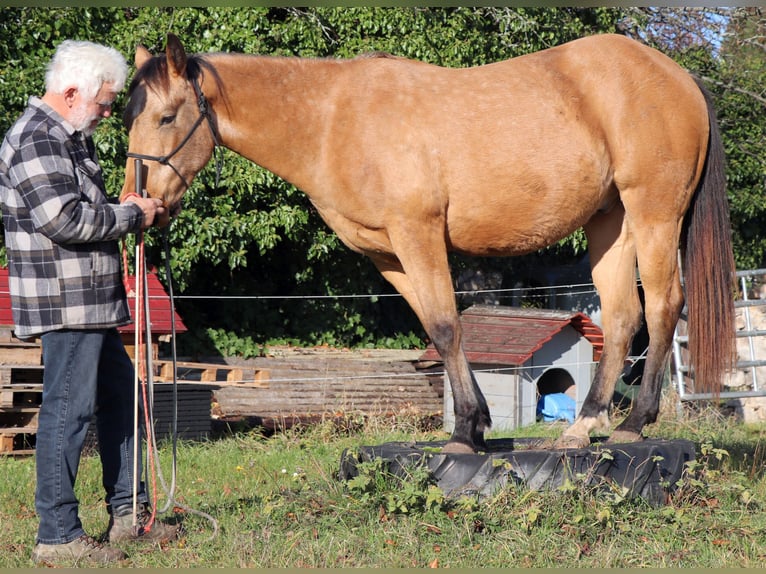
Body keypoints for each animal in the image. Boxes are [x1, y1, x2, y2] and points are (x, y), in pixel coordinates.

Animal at [121, 33, 736, 453]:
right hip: (611, 223)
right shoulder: (387, 252)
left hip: (654, 215)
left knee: (662, 307)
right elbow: (439, 330)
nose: (138, 201)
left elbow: (444, 325)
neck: (331, 121)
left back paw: (634, 424)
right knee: (622, 313)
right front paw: (477, 424)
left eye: (168, 116)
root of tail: (677, 74)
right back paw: (583, 427)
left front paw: (464, 433)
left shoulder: (417, 232)